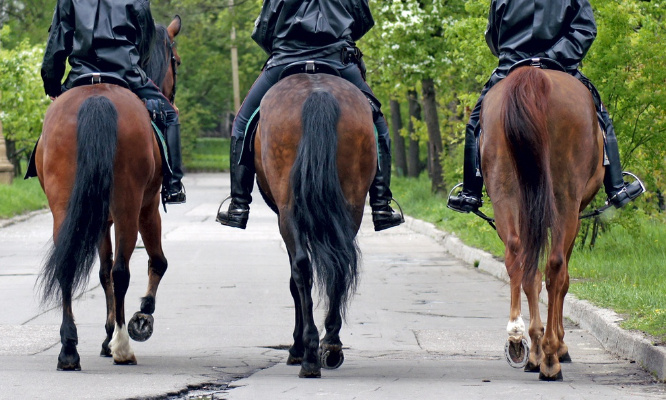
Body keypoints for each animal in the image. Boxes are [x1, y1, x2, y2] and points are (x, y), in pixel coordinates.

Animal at [35, 16, 182, 371]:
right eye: (177, 61)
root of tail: (97, 96)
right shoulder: (148, 208)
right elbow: (155, 262)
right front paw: (141, 318)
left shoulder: (99, 219)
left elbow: (101, 274)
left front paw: (105, 335)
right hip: (129, 208)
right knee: (122, 271)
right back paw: (123, 346)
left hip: (66, 208)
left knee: (69, 264)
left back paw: (69, 349)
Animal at [254, 72, 377, 378]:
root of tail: (317, 92)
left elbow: (293, 281)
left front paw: (296, 348)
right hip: (353, 206)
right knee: (340, 264)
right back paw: (331, 346)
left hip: (287, 212)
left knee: (302, 268)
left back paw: (308, 354)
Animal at [480, 65, 604, 380]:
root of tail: (532, 76)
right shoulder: (574, 215)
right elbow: (564, 279)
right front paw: (560, 345)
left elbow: (530, 274)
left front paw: (533, 347)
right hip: (565, 200)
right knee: (555, 266)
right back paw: (549, 357)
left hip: (505, 191)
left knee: (518, 258)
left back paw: (519, 340)